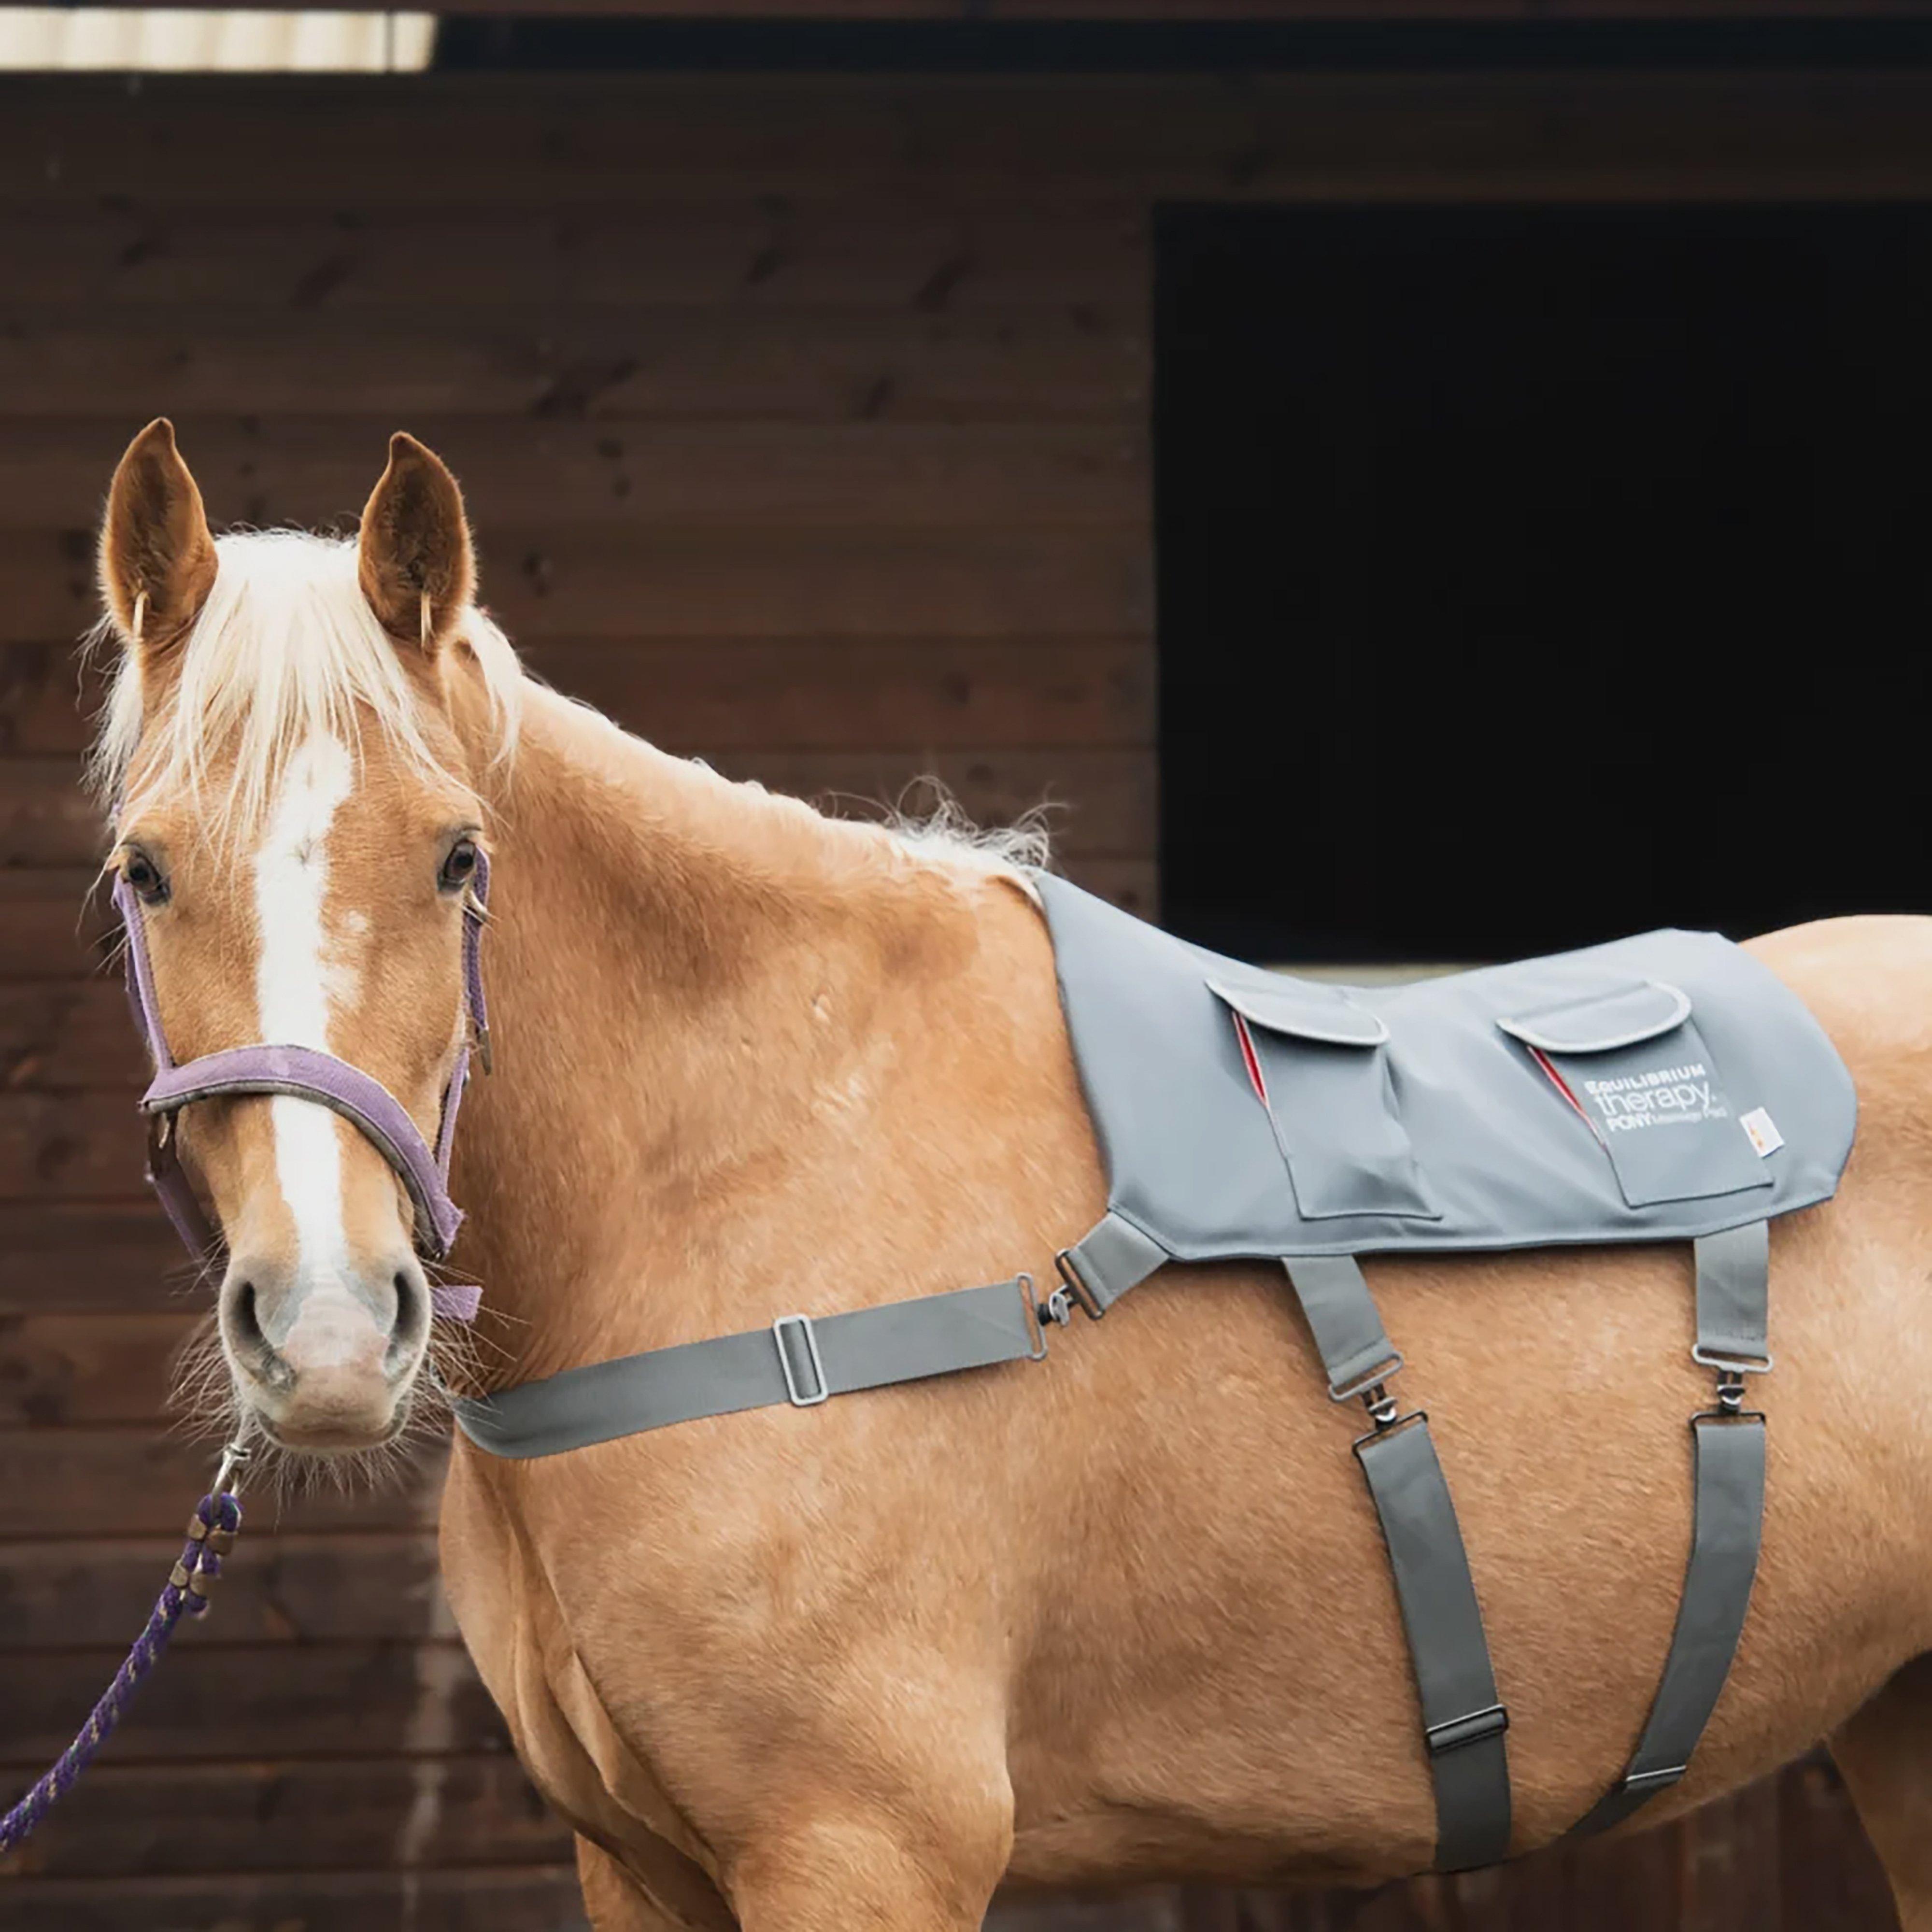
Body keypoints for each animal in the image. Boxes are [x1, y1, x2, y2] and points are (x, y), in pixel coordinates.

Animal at [81, 417, 1932, 1930]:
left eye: (460, 858)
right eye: (146, 870)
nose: (327, 1331)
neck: (751, 1173)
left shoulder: (863, 1850)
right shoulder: (643, 1868)